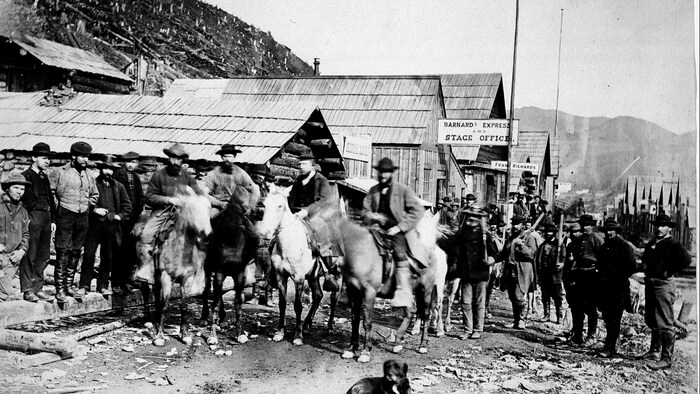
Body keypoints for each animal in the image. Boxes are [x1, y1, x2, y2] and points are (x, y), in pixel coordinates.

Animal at [135, 187, 212, 344]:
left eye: (209, 207)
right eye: (192, 210)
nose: (206, 233)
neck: (180, 248)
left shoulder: (187, 278)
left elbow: (183, 305)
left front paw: (185, 333)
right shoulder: (166, 276)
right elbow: (165, 305)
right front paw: (159, 335)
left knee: (156, 293)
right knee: (146, 291)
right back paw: (148, 317)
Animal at [200, 187, 260, 344]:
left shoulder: (239, 275)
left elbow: (238, 303)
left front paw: (240, 333)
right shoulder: (219, 273)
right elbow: (215, 302)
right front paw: (212, 335)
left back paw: (222, 318)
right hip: (208, 268)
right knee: (207, 289)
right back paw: (204, 317)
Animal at [258, 188, 330, 344]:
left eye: (280, 205)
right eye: (265, 204)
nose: (265, 232)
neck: (288, 244)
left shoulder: (299, 278)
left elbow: (298, 306)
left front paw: (298, 335)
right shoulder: (281, 277)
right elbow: (282, 304)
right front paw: (280, 332)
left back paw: (330, 326)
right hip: (314, 277)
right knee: (318, 295)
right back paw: (307, 324)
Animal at [336, 209, 446, 364]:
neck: (360, 249)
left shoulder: (369, 292)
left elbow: (367, 321)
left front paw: (365, 352)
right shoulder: (353, 292)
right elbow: (355, 319)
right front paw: (351, 349)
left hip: (427, 289)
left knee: (425, 313)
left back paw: (423, 345)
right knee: (411, 311)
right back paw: (398, 342)